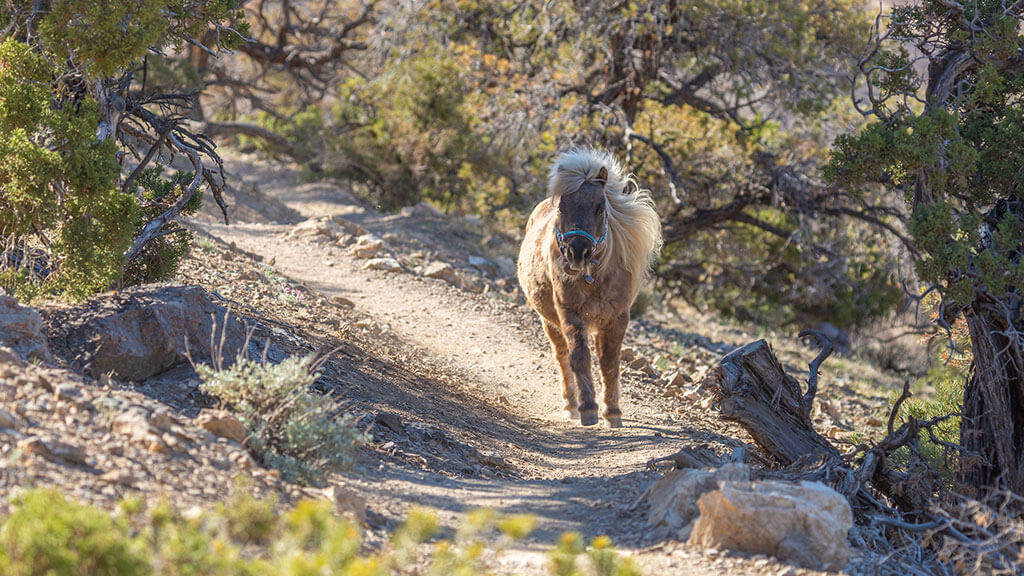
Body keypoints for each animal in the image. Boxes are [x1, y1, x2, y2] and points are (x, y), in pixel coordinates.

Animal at [516, 147, 659, 426]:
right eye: (562, 207)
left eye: (600, 207)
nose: (577, 252)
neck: (595, 278)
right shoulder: (569, 313)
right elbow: (580, 358)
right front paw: (588, 408)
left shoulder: (618, 318)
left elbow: (609, 363)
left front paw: (613, 412)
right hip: (549, 321)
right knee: (562, 356)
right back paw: (570, 405)